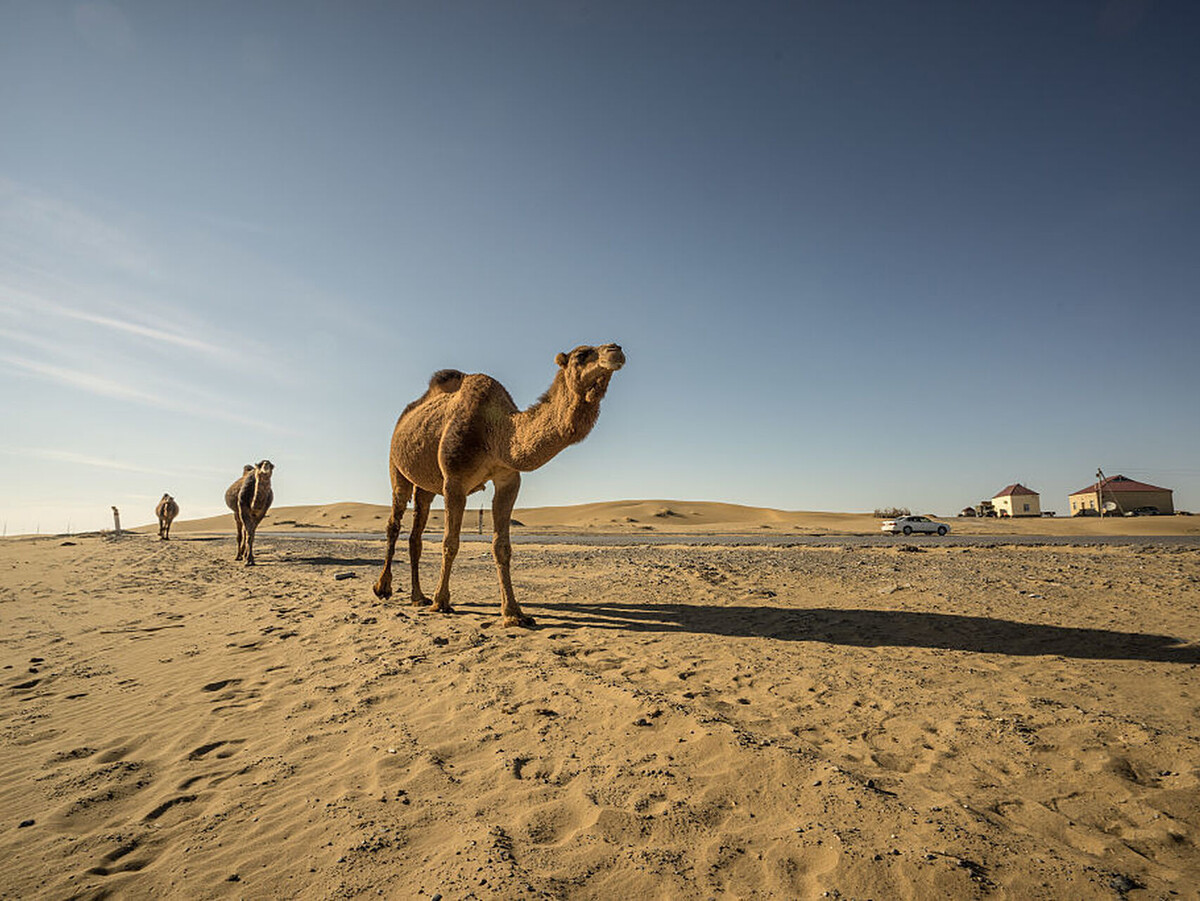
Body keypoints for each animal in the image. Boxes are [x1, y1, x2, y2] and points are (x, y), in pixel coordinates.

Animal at [369, 343, 624, 628]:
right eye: (581, 355)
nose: (615, 350)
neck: (496, 433)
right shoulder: (454, 481)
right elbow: (450, 542)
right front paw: (441, 601)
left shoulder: (508, 480)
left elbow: (501, 546)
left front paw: (513, 612)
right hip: (396, 466)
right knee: (395, 521)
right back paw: (383, 588)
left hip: (424, 484)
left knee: (416, 535)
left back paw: (418, 597)